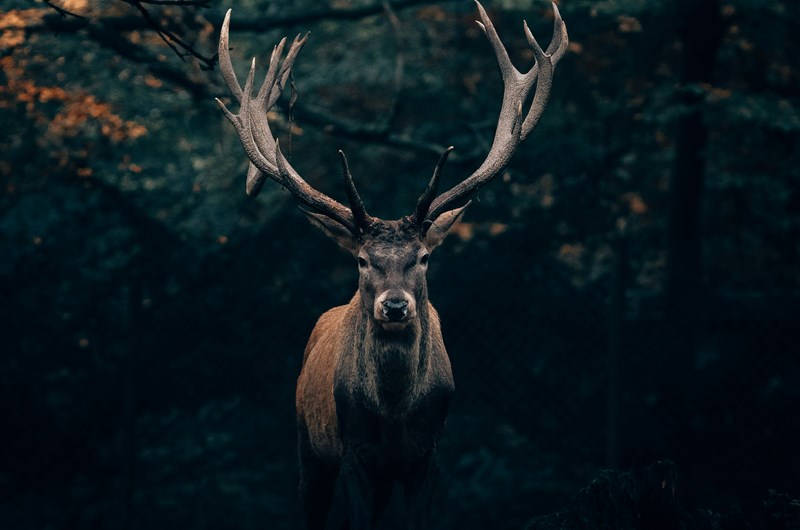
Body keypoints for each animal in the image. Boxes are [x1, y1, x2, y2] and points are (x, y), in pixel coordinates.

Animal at [214, 2, 567, 528]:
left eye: (423, 257)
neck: (397, 415)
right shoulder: (355, 453)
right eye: (362, 260)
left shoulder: (429, 454)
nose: (395, 307)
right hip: (308, 444)